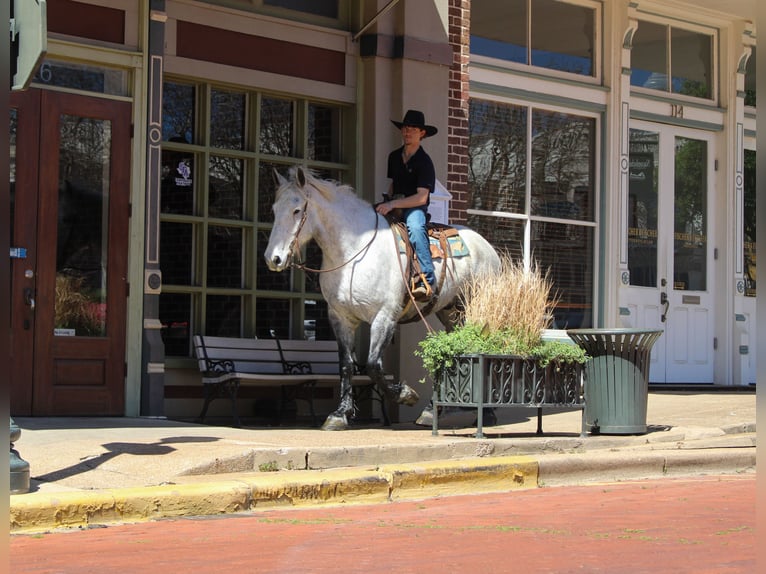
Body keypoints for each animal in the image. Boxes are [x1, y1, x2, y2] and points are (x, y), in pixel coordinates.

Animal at [264, 166, 501, 430]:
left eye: (297, 210)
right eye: (274, 209)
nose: (273, 258)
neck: (353, 249)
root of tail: (488, 248)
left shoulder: (385, 316)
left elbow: (373, 365)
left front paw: (406, 394)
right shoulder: (340, 318)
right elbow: (346, 364)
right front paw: (340, 414)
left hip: (475, 309)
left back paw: (487, 414)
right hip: (451, 311)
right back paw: (431, 412)